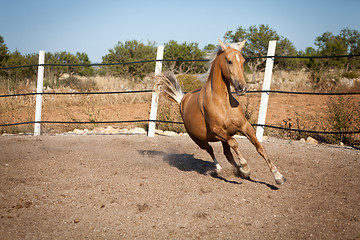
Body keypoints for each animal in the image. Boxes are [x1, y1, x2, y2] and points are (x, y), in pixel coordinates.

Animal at [156, 39, 286, 186]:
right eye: (229, 61)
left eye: (243, 60)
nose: (241, 87)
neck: (223, 102)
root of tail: (182, 100)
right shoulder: (216, 130)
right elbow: (235, 143)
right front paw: (245, 167)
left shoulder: (244, 126)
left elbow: (260, 148)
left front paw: (278, 176)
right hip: (199, 139)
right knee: (210, 149)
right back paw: (220, 169)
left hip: (222, 137)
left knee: (227, 153)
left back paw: (239, 171)